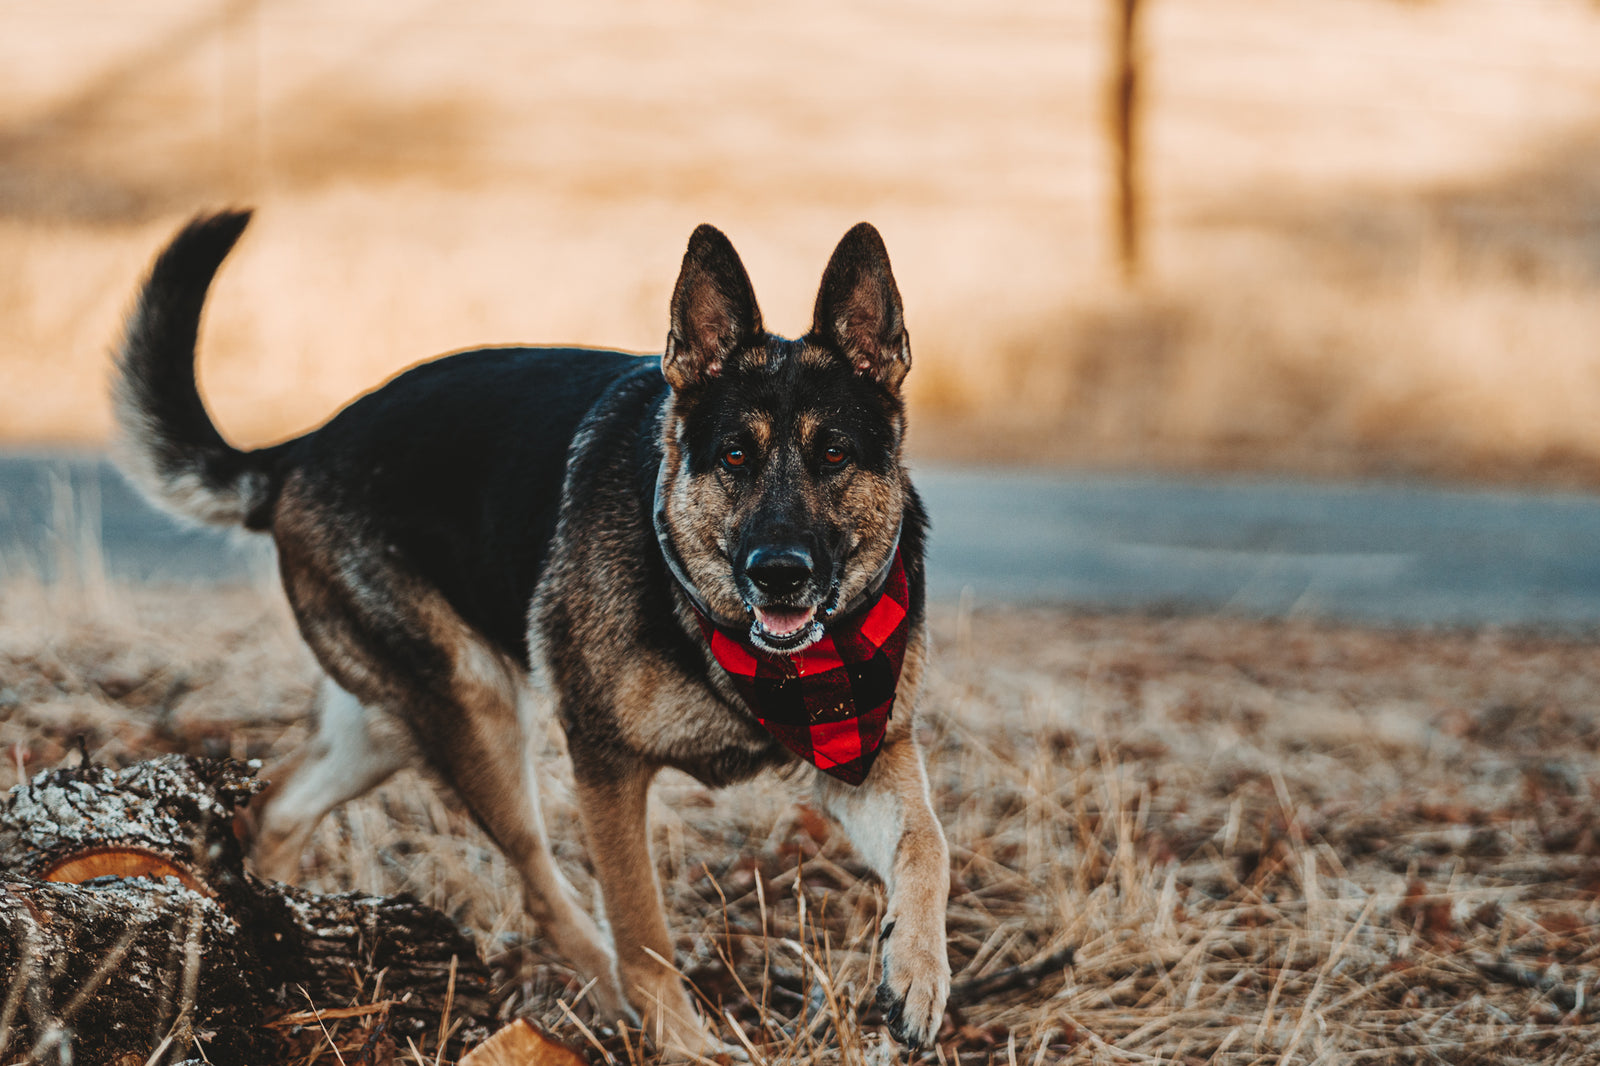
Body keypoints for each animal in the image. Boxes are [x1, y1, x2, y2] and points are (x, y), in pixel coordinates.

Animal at [118, 211, 953, 1049]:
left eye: (834, 454)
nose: (779, 572)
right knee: (539, 887)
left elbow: (927, 841)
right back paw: (606, 1001)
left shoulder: (866, 749)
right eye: (735, 457)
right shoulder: (606, 765)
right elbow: (641, 928)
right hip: (476, 706)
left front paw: (917, 974)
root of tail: (303, 446)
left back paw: (286, 936)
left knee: (278, 808)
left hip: (394, 721)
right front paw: (682, 1044)